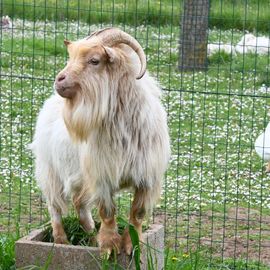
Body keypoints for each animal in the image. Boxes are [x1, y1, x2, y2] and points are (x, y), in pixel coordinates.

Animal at [30, 28, 170, 255]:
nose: (59, 80)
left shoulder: (147, 176)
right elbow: (107, 211)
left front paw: (132, 246)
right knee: (54, 207)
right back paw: (61, 240)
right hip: (49, 171)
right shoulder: (101, 175)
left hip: (77, 177)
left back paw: (89, 235)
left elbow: (137, 213)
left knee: (79, 203)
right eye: (71, 57)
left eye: (94, 60)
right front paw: (109, 247)